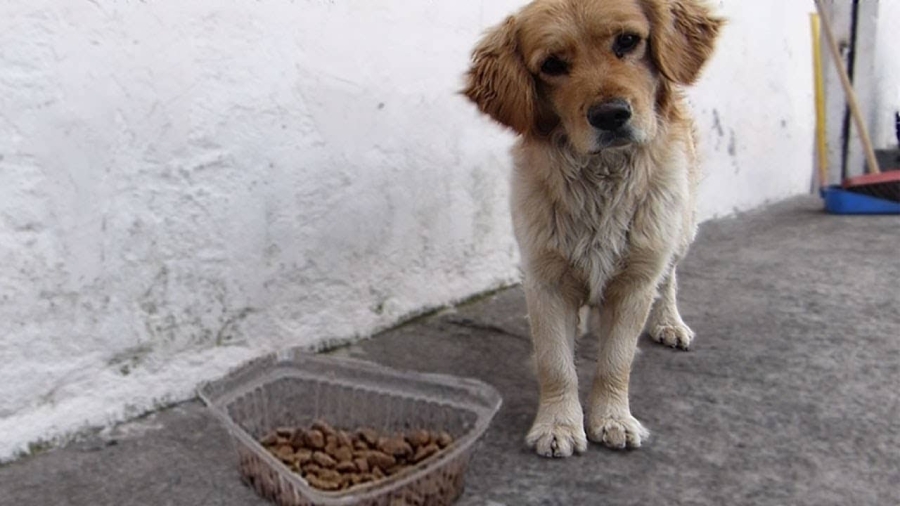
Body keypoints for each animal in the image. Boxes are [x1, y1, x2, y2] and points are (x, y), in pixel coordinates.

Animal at [464, 0, 724, 458]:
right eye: (552, 65)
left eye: (628, 41)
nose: (610, 115)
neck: (601, 180)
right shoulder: (544, 279)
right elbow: (555, 363)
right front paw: (558, 424)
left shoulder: (636, 280)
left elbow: (616, 361)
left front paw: (613, 419)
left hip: (679, 229)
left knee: (670, 278)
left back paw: (669, 323)